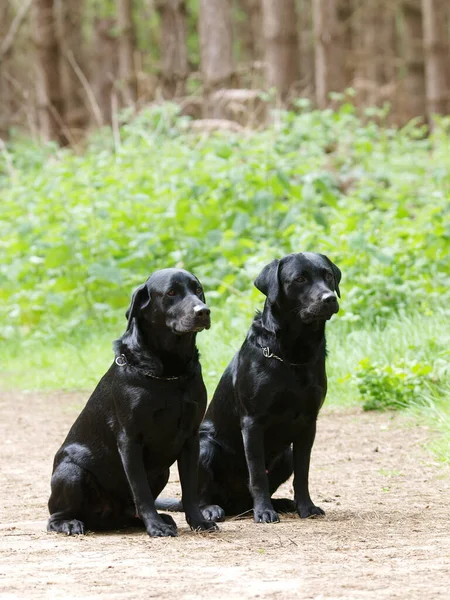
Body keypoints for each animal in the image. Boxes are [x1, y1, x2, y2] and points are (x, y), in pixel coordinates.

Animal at [47, 270, 218, 536]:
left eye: (198, 290)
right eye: (171, 292)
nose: (203, 311)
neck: (170, 374)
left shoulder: (191, 439)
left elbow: (189, 489)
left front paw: (198, 522)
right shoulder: (130, 440)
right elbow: (141, 491)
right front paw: (156, 527)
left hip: (162, 472)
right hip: (71, 472)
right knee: (54, 517)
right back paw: (70, 523)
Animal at [156, 251, 340, 524]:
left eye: (327, 275)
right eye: (300, 279)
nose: (329, 298)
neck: (292, 355)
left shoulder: (309, 422)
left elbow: (303, 473)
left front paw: (306, 507)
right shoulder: (253, 422)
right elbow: (257, 474)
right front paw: (263, 512)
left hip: (285, 456)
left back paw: (280, 503)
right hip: (205, 446)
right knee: (200, 494)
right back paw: (212, 509)